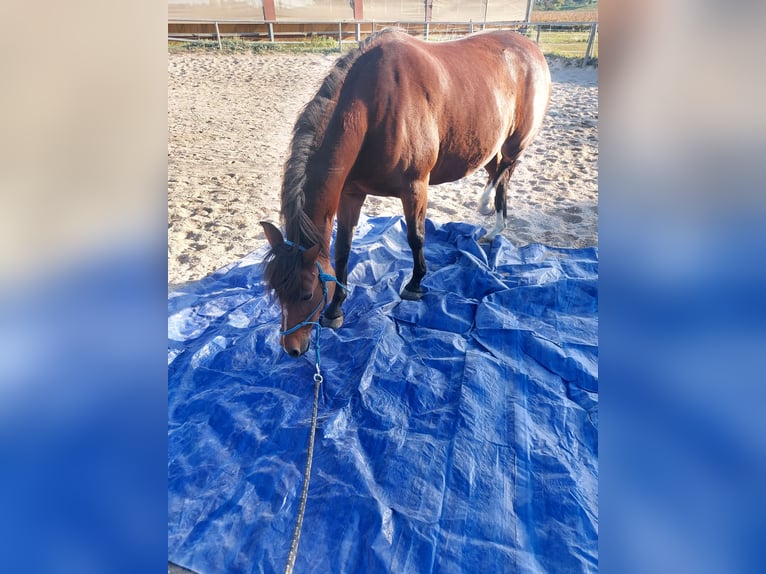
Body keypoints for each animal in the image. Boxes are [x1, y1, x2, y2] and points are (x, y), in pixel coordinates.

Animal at [262, 30, 552, 360]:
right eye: (275, 291)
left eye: (307, 293)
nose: (291, 349)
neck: (373, 106)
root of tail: (530, 48)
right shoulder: (351, 194)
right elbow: (342, 250)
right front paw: (336, 309)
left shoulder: (415, 187)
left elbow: (416, 237)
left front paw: (415, 284)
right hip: (490, 145)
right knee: (500, 174)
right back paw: (494, 230)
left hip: (515, 142)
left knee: (504, 171)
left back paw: (487, 207)